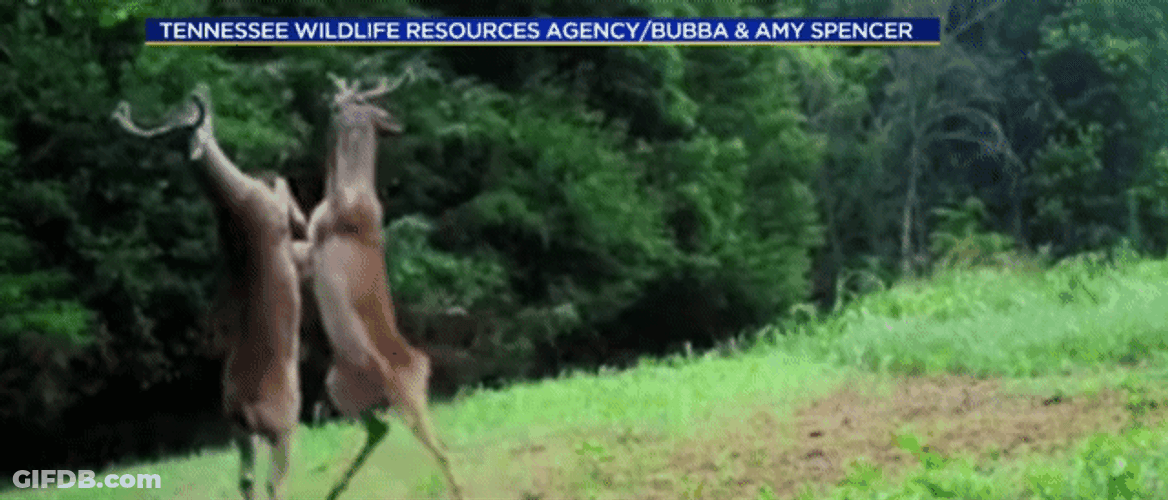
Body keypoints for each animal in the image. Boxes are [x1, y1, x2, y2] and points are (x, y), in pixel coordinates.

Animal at [112, 84, 309, 500]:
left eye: (179, 119)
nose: (202, 95)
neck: (235, 203)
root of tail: (246, 409)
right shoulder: (274, 211)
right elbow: (281, 184)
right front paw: (303, 217)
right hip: (283, 424)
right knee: (275, 478)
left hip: (238, 428)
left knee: (247, 479)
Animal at [304, 72, 464, 500]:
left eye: (355, 101)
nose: (329, 101)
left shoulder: (321, 231)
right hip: (342, 386)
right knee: (381, 430)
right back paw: (333, 488)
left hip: (402, 392)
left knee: (437, 447)